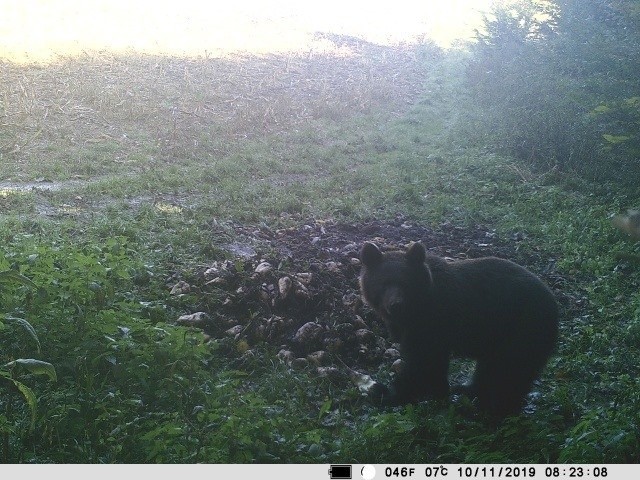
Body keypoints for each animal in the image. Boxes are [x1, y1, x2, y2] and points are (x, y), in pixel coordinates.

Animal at [360, 240, 560, 416]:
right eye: (383, 283)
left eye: (405, 283)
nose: (395, 305)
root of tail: (554, 302)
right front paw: (440, 392)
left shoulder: (430, 323)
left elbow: (422, 362)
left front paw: (385, 392)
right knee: (489, 368)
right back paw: (468, 390)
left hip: (522, 329)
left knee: (509, 372)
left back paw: (492, 410)